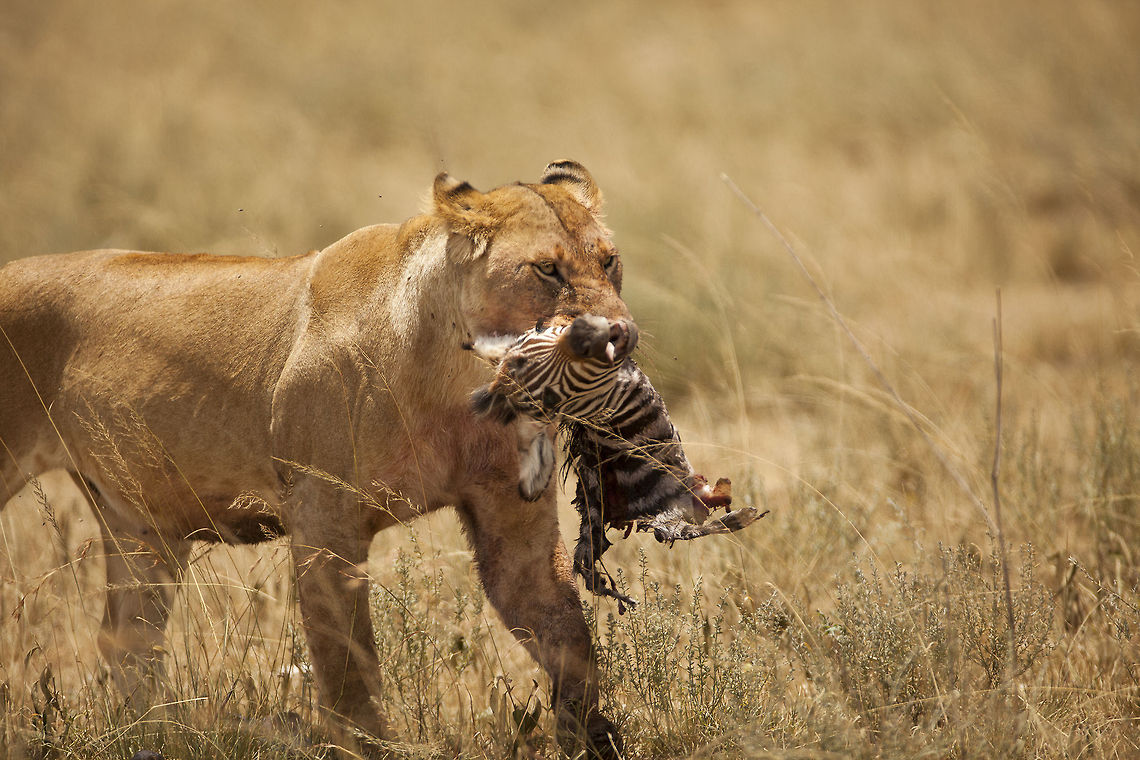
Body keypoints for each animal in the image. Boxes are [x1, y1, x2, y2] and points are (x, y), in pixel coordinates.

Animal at [0, 160, 634, 757]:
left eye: (609, 262)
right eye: (546, 269)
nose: (618, 336)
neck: (452, 376)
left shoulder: (513, 520)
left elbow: (568, 639)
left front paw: (592, 740)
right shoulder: (322, 520)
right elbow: (348, 667)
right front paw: (368, 750)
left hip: (142, 529)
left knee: (127, 643)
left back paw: (153, 737)